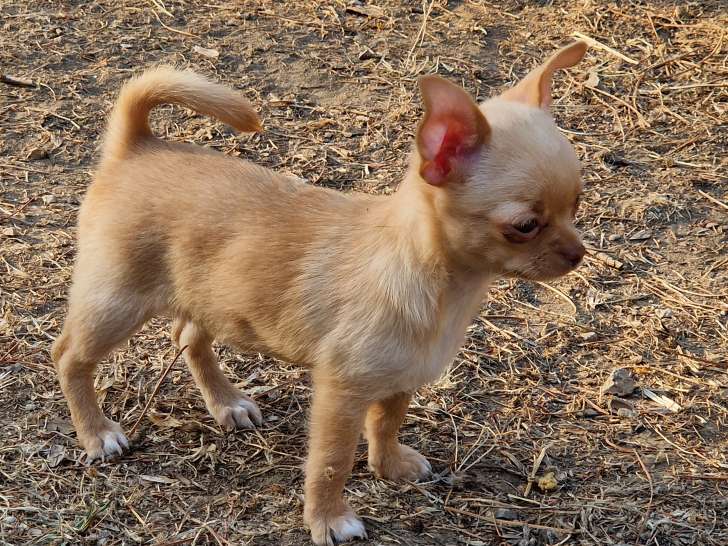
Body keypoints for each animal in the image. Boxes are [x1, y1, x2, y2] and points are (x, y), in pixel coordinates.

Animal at [54, 40, 592, 540]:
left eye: (577, 204)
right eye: (525, 225)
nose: (578, 254)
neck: (439, 284)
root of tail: (137, 144)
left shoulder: (401, 378)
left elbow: (387, 423)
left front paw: (389, 465)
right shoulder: (342, 392)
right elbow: (331, 462)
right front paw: (330, 519)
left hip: (210, 294)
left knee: (188, 337)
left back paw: (227, 402)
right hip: (117, 301)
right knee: (69, 356)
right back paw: (97, 433)